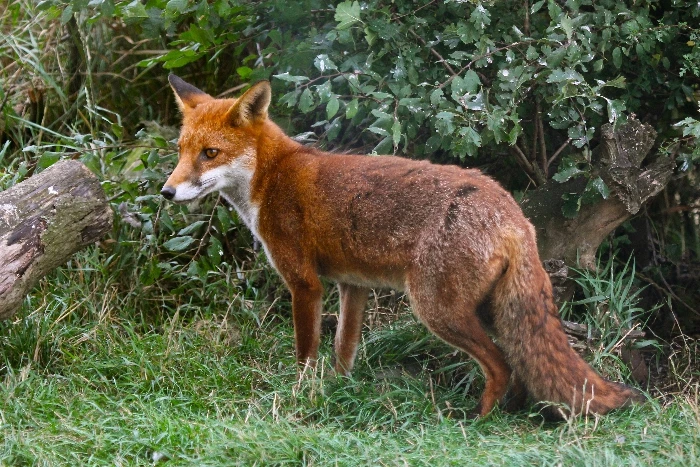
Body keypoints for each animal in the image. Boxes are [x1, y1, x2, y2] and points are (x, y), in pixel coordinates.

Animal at [161, 74, 644, 418]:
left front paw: (302, 397)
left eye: (210, 153)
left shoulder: (304, 284)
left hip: (438, 309)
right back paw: (517, 414)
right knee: (520, 363)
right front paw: (337, 393)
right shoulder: (352, 285)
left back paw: (479, 419)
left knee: (501, 365)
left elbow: (305, 355)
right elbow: (344, 351)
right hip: (491, 310)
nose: (166, 192)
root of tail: (512, 211)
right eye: (181, 150)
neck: (271, 177)